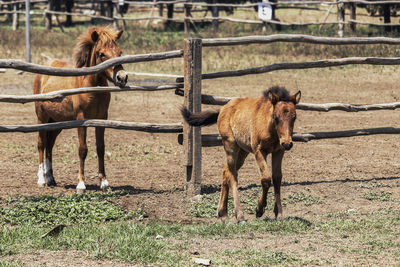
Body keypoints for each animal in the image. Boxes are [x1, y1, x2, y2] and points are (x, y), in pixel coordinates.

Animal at [34, 26, 129, 194]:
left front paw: (104, 182)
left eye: (120, 52)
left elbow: (100, 148)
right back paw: (41, 180)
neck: (91, 87)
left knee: (49, 145)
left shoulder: (102, 119)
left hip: (57, 122)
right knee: (41, 144)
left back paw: (50, 178)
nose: (122, 77)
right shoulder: (81, 119)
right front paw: (81, 184)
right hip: (42, 118)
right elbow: (82, 150)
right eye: (101, 54)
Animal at [181, 87, 300, 223]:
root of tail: (222, 109)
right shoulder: (259, 151)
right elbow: (266, 178)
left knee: (226, 171)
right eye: (276, 117)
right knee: (232, 175)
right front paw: (259, 209)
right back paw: (240, 215)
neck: (270, 127)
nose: (287, 143)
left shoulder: (279, 151)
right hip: (230, 146)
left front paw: (279, 213)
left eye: (294, 117)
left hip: (243, 151)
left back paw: (223, 213)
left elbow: (277, 177)